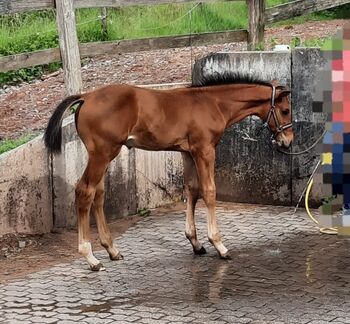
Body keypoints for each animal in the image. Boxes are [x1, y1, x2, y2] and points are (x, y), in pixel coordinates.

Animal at [45, 73, 294, 270]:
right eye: (285, 110)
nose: (287, 141)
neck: (212, 104)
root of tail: (86, 96)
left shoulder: (187, 152)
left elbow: (192, 190)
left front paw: (196, 243)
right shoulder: (205, 150)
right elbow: (209, 191)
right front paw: (219, 245)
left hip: (104, 157)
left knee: (98, 194)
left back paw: (112, 250)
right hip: (102, 154)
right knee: (84, 192)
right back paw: (91, 257)